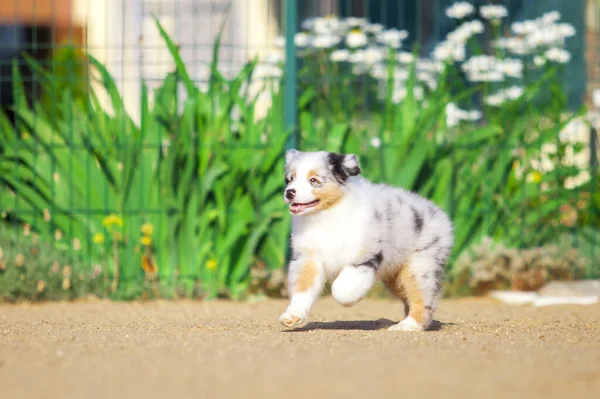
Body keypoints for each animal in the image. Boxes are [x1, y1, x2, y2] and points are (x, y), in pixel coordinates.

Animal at [278, 150, 452, 332]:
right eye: (290, 179)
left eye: (313, 180)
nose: (289, 192)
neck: (326, 214)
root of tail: (439, 214)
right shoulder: (308, 257)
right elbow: (302, 289)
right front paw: (292, 316)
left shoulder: (363, 256)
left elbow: (341, 290)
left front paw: (349, 298)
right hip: (395, 277)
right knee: (408, 297)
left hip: (419, 266)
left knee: (423, 298)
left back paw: (409, 325)